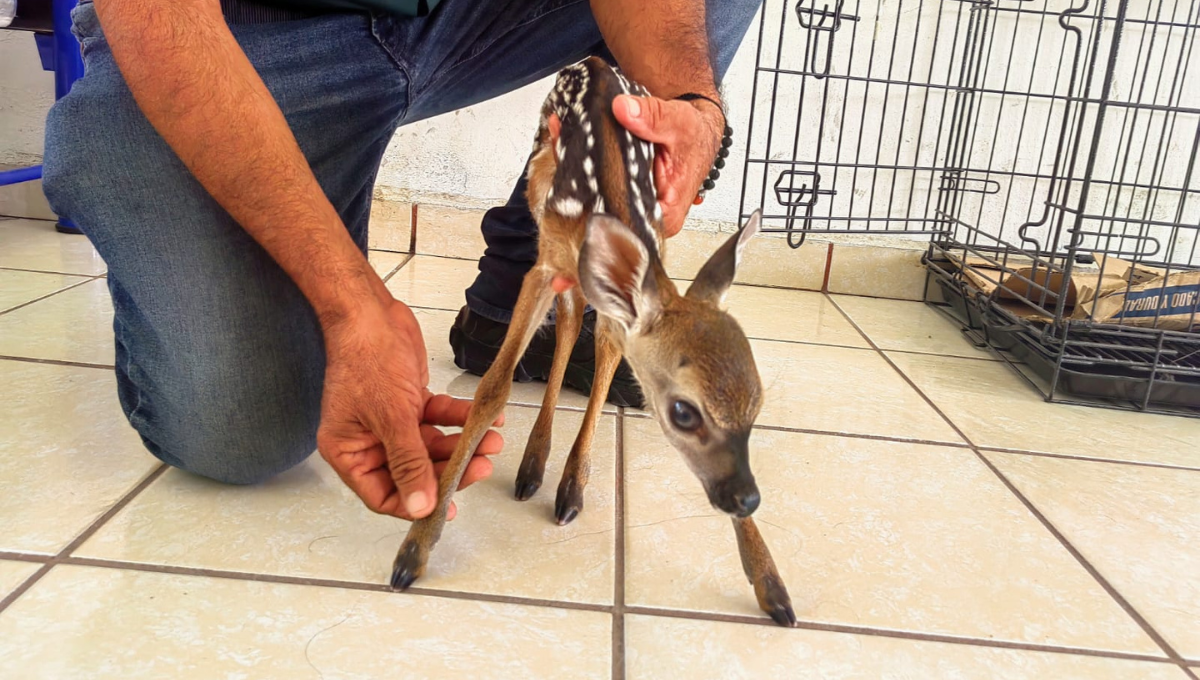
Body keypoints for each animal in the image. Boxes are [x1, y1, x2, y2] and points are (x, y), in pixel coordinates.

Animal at [388, 55, 792, 623]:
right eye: (683, 413)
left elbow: (604, 349)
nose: (747, 499)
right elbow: (492, 389)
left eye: (757, 405)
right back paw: (534, 466)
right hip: (540, 182)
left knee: (586, 330)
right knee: (566, 320)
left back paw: (554, 475)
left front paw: (771, 582)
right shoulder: (544, 266)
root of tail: (596, 60)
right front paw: (415, 546)